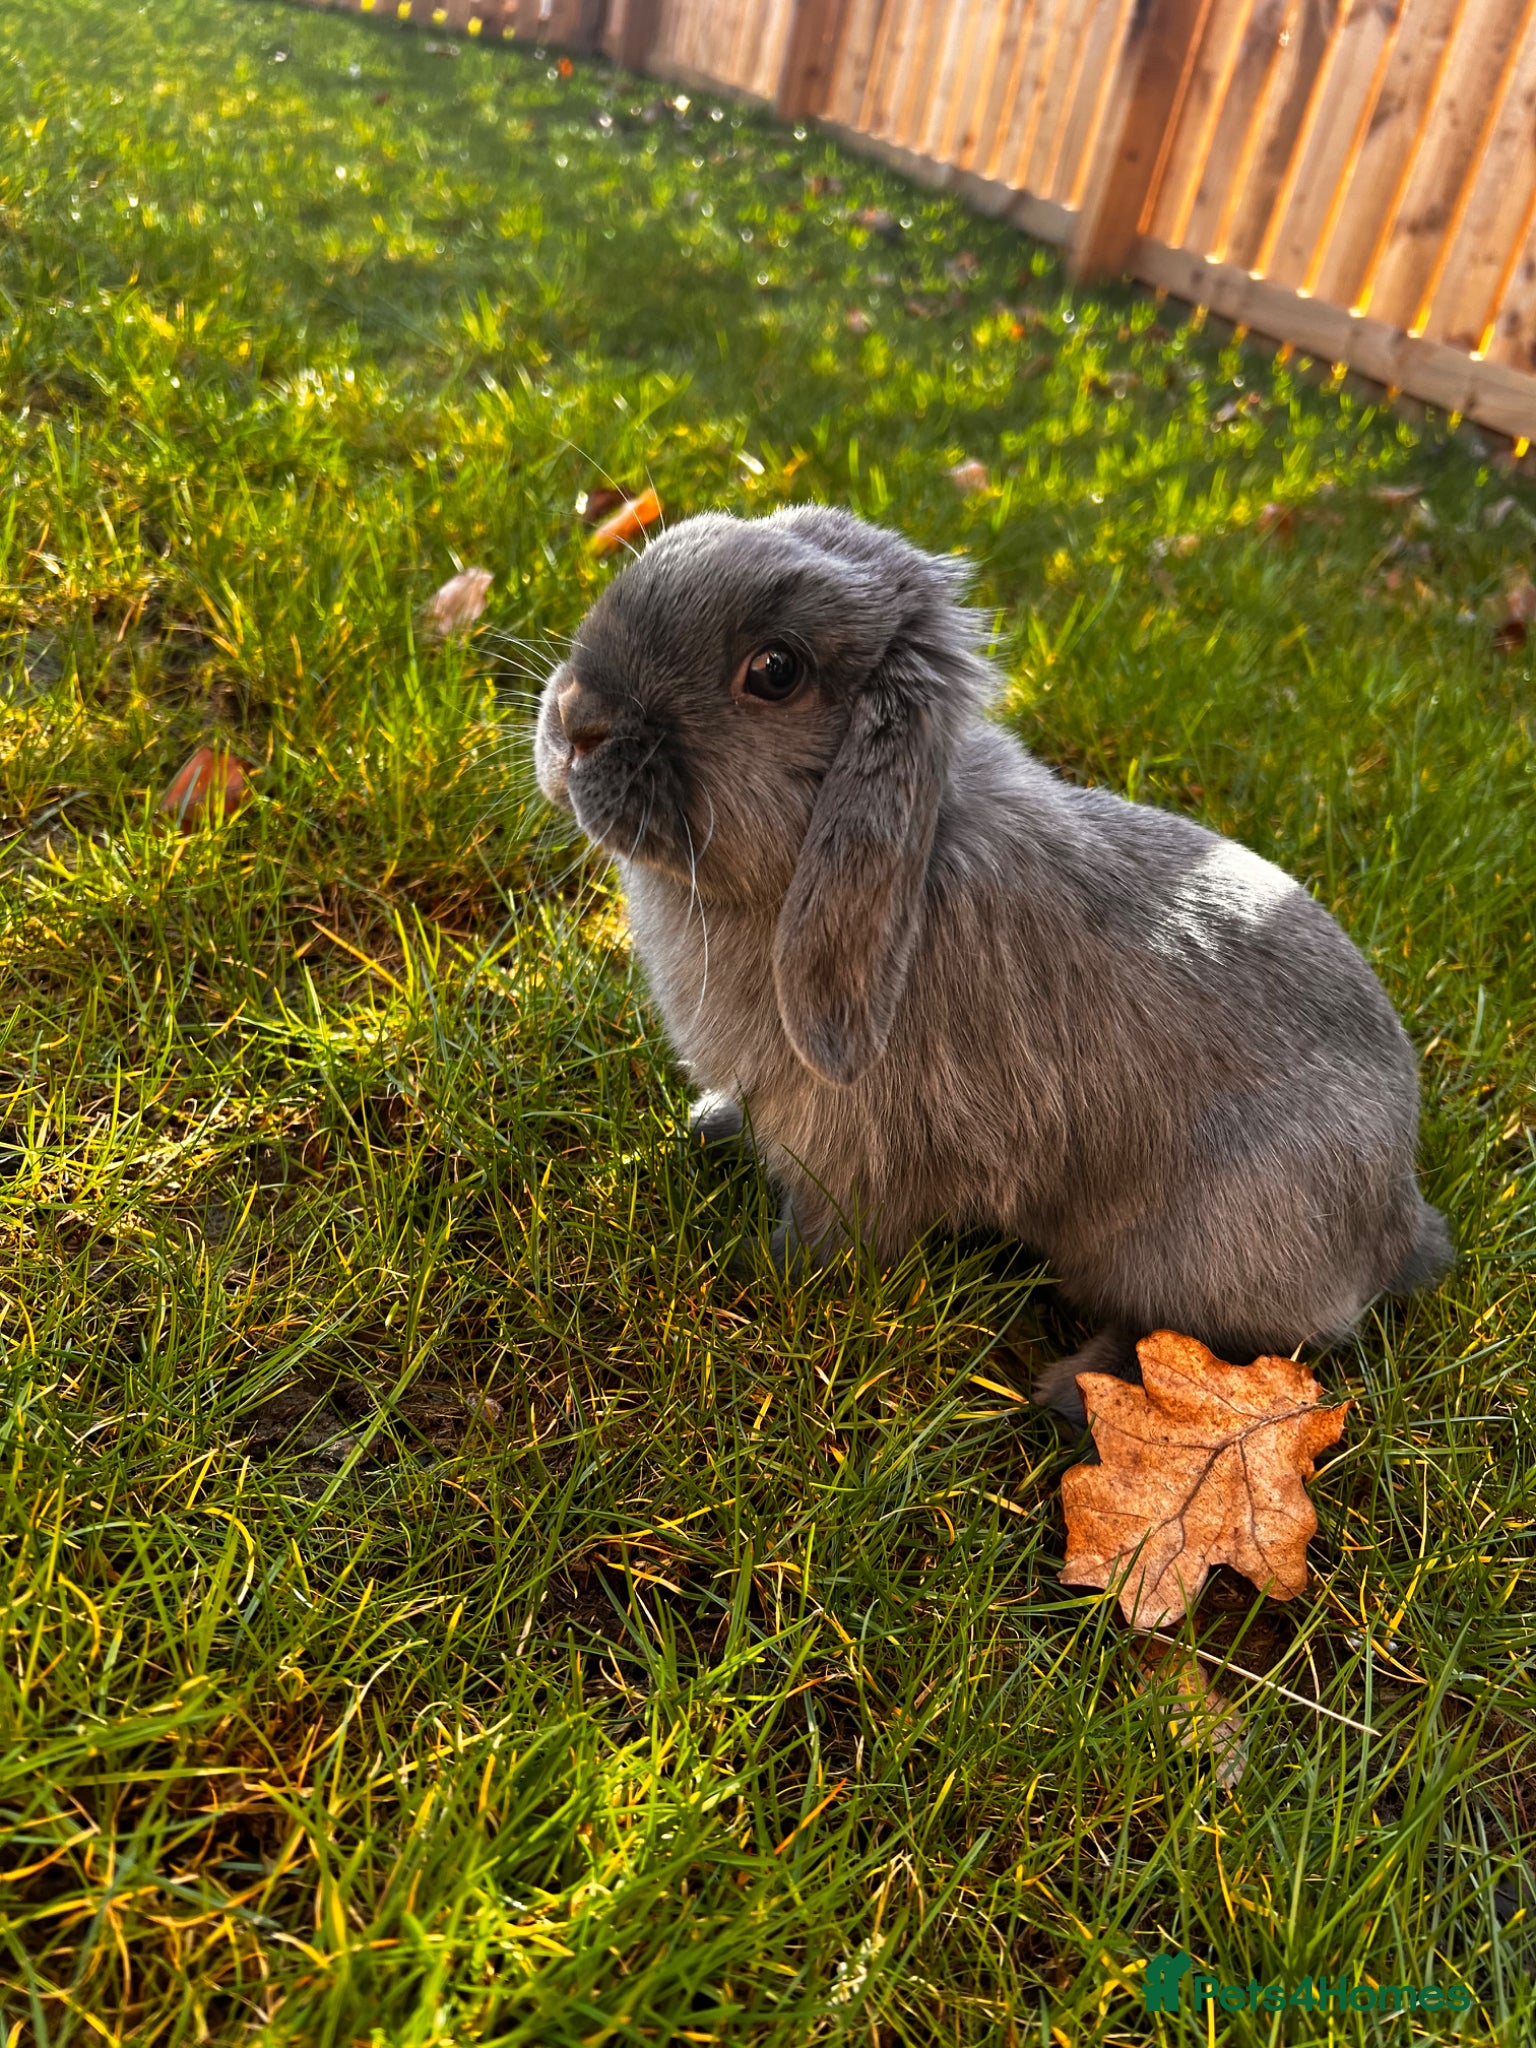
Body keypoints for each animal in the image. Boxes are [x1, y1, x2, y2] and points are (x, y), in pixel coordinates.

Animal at [534, 506, 1451, 1422]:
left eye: (775, 671)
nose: (577, 720)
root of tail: (1399, 1224)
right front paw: (709, 1124)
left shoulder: (851, 1162)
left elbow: (827, 1242)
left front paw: (756, 1272)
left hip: (1200, 1255)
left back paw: (1077, 1395)